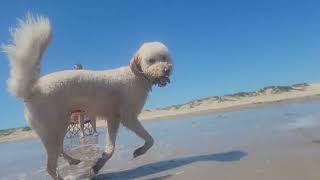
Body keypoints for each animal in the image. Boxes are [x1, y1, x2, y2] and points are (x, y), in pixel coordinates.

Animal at [1, 13, 172, 179]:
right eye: (151, 60)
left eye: (164, 58)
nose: (166, 69)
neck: (137, 75)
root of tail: (31, 90)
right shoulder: (127, 117)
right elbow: (149, 139)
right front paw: (139, 151)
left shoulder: (113, 119)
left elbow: (111, 148)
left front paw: (97, 165)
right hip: (54, 130)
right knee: (50, 166)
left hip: (58, 128)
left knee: (59, 152)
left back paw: (73, 161)